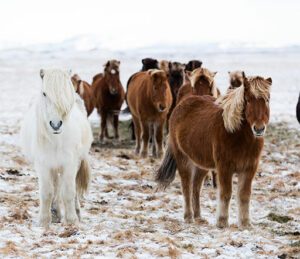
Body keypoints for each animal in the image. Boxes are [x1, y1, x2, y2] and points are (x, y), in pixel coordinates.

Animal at [20, 68, 93, 228]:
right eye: (44, 93)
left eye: (66, 93)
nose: (55, 124)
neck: (56, 139)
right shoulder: (43, 165)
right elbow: (47, 192)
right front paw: (44, 221)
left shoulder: (69, 164)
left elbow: (69, 192)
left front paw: (71, 220)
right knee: (55, 187)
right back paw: (55, 213)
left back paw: (75, 212)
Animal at [157, 73, 272, 230]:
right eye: (248, 100)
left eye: (267, 99)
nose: (259, 129)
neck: (237, 135)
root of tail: (180, 106)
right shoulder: (224, 168)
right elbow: (226, 194)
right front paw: (222, 222)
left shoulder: (249, 168)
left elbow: (244, 195)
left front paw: (245, 224)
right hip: (183, 160)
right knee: (186, 187)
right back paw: (189, 217)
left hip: (201, 164)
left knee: (196, 188)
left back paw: (198, 217)